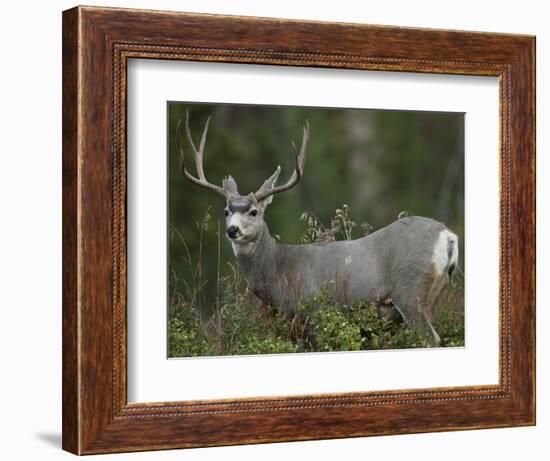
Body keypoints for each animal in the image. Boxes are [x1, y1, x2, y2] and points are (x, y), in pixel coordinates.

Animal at [178, 110, 462, 344]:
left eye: (253, 211)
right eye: (226, 211)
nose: (232, 230)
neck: (278, 269)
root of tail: (447, 235)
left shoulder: (312, 311)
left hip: (411, 291)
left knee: (431, 338)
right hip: (431, 294)